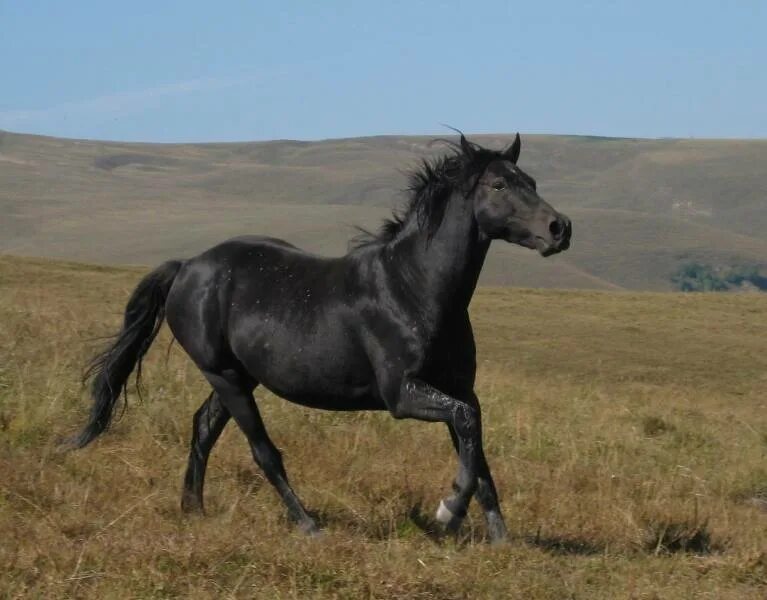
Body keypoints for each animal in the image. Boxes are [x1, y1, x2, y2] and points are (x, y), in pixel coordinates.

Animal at [72, 132, 572, 544]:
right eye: (499, 186)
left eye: (530, 180)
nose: (560, 229)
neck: (413, 287)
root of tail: (187, 267)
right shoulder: (402, 395)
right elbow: (467, 430)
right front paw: (447, 513)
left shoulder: (460, 389)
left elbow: (477, 448)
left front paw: (499, 539)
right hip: (225, 376)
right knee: (262, 451)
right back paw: (307, 524)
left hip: (239, 377)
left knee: (203, 427)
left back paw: (193, 510)